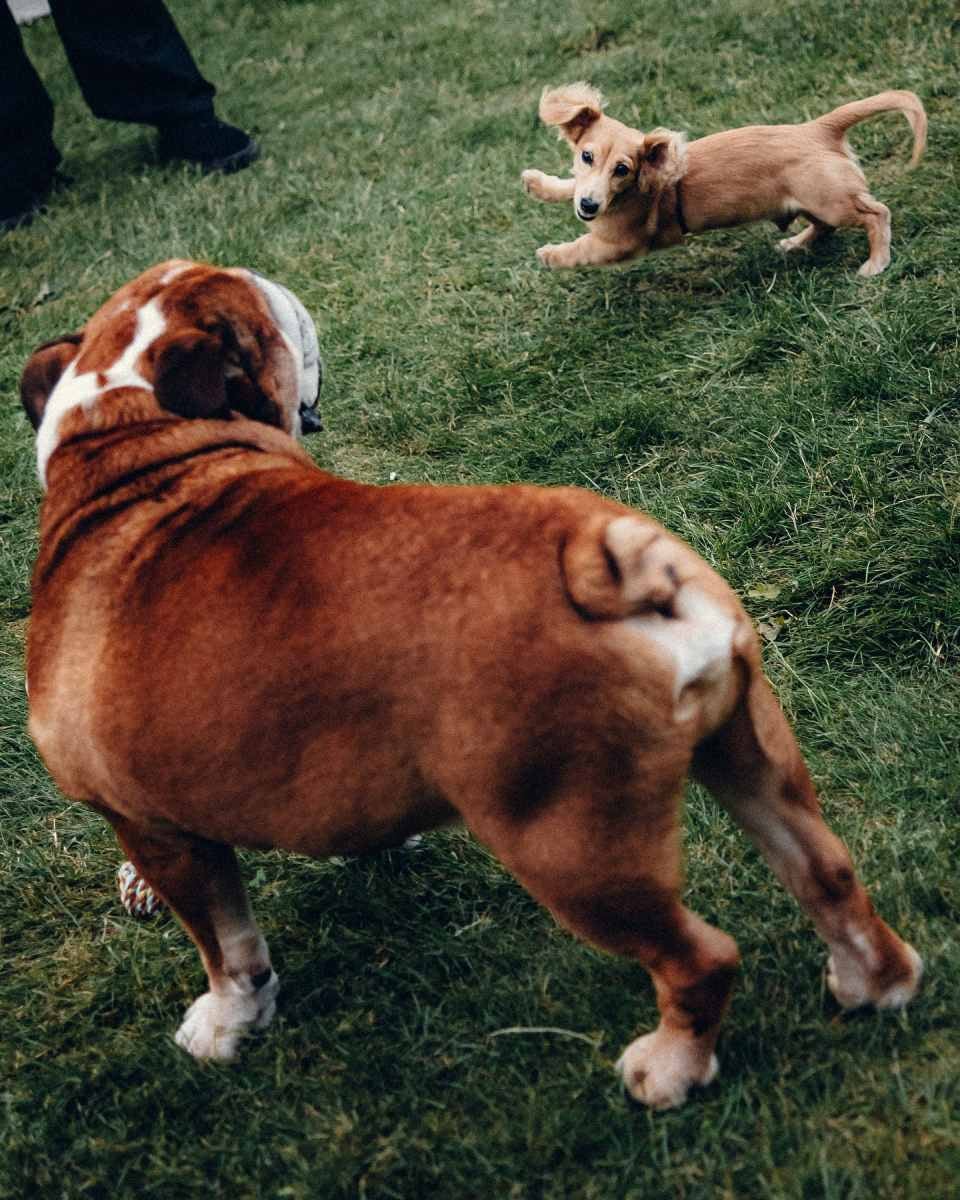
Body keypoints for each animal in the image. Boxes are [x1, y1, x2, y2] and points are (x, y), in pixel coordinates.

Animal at [24, 260, 921, 1104]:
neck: (127, 436)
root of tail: (600, 553)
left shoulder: (150, 826)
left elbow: (225, 942)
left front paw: (224, 1023)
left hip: (574, 849)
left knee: (698, 958)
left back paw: (670, 1068)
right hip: (751, 754)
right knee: (827, 874)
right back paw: (874, 982)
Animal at [520, 83, 926, 274]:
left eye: (622, 170)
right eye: (586, 156)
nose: (589, 206)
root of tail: (817, 129)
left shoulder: (621, 243)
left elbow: (582, 249)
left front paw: (551, 255)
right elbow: (570, 185)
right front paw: (538, 183)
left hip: (832, 200)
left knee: (877, 213)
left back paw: (876, 262)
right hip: (811, 202)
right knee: (825, 227)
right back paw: (795, 244)